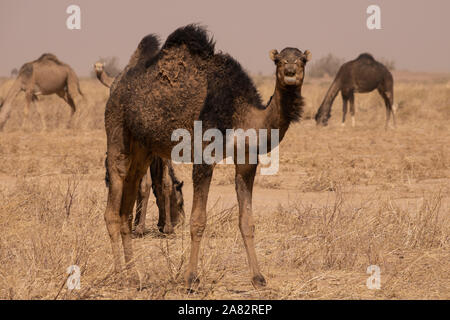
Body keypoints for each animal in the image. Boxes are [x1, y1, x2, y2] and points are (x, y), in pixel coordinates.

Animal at [103, 25, 312, 288]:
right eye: (279, 60)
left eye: (302, 59)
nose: (291, 72)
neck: (240, 113)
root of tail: (118, 82)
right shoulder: (203, 155)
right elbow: (198, 221)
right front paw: (192, 278)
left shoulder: (246, 160)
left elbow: (247, 221)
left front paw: (258, 278)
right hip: (116, 125)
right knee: (114, 196)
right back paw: (119, 275)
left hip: (142, 147)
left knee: (128, 202)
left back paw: (133, 275)